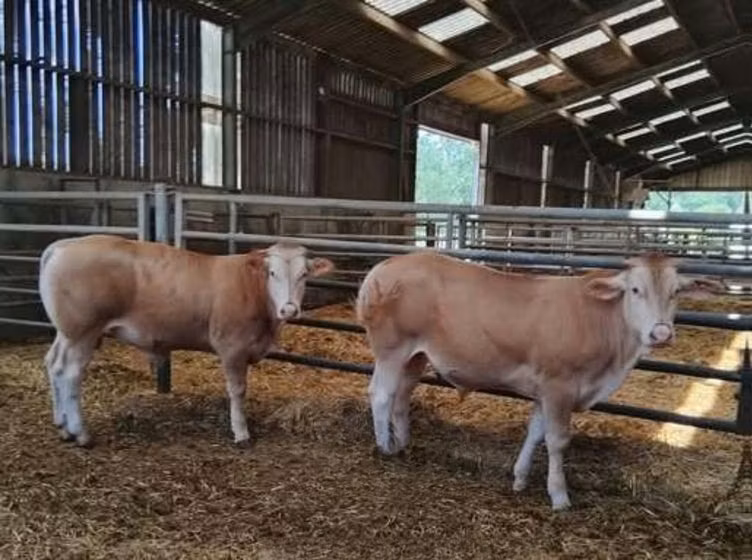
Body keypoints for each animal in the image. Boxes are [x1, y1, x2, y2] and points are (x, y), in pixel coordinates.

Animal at [38, 234, 334, 447]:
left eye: (303, 275)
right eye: (272, 273)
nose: (289, 310)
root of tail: (63, 245)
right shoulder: (233, 348)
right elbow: (237, 391)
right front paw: (241, 432)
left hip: (66, 332)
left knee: (54, 365)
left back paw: (62, 426)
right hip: (83, 331)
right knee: (71, 374)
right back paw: (80, 433)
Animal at [355, 251, 721, 510]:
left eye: (676, 292)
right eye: (635, 289)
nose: (661, 333)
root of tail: (385, 265)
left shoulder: (545, 388)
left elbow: (536, 431)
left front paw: (519, 478)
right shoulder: (560, 384)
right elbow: (557, 440)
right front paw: (559, 495)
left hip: (416, 355)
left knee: (402, 396)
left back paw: (403, 441)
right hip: (392, 348)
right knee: (381, 393)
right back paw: (384, 447)